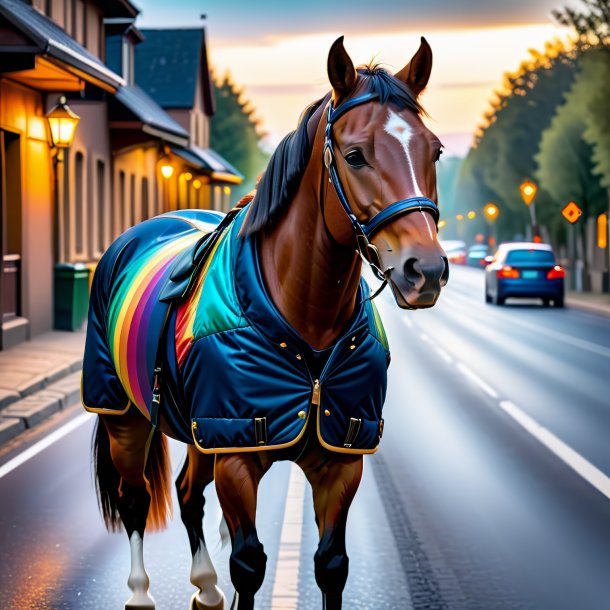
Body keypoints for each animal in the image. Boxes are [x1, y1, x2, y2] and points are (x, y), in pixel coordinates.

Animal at [82, 35, 446, 604]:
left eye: (435, 150)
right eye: (355, 154)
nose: (424, 270)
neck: (305, 329)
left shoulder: (341, 457)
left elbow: (332, 565)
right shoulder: (236, 454)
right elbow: (249, 564)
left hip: (199, 432)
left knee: (187, 493)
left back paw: (205, 587)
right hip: (124, 417)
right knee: (135, 498)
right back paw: (140, 593)